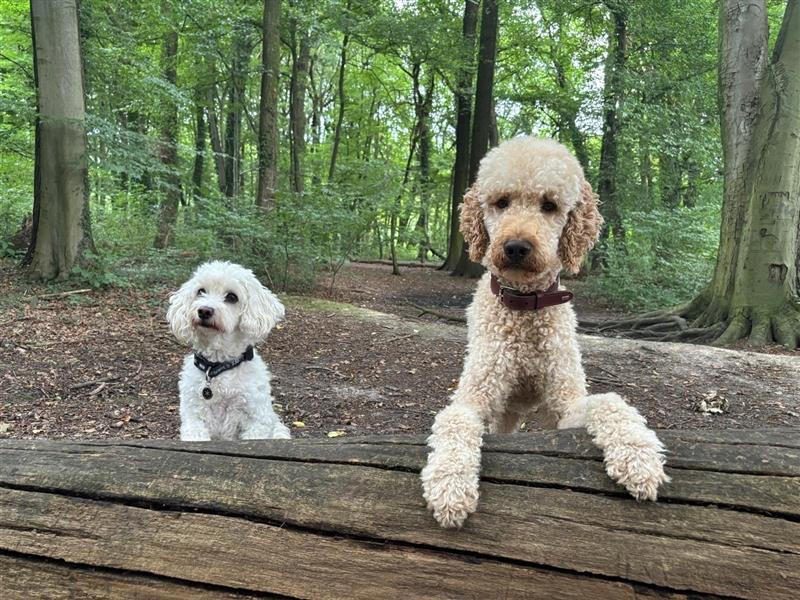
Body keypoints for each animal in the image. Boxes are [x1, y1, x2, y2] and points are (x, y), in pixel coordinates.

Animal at [166, 262, 290, 440]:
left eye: (232, 297)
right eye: (201, 291)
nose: (204, 310)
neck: (218, 365)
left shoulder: (256, 420)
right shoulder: (194, 418)